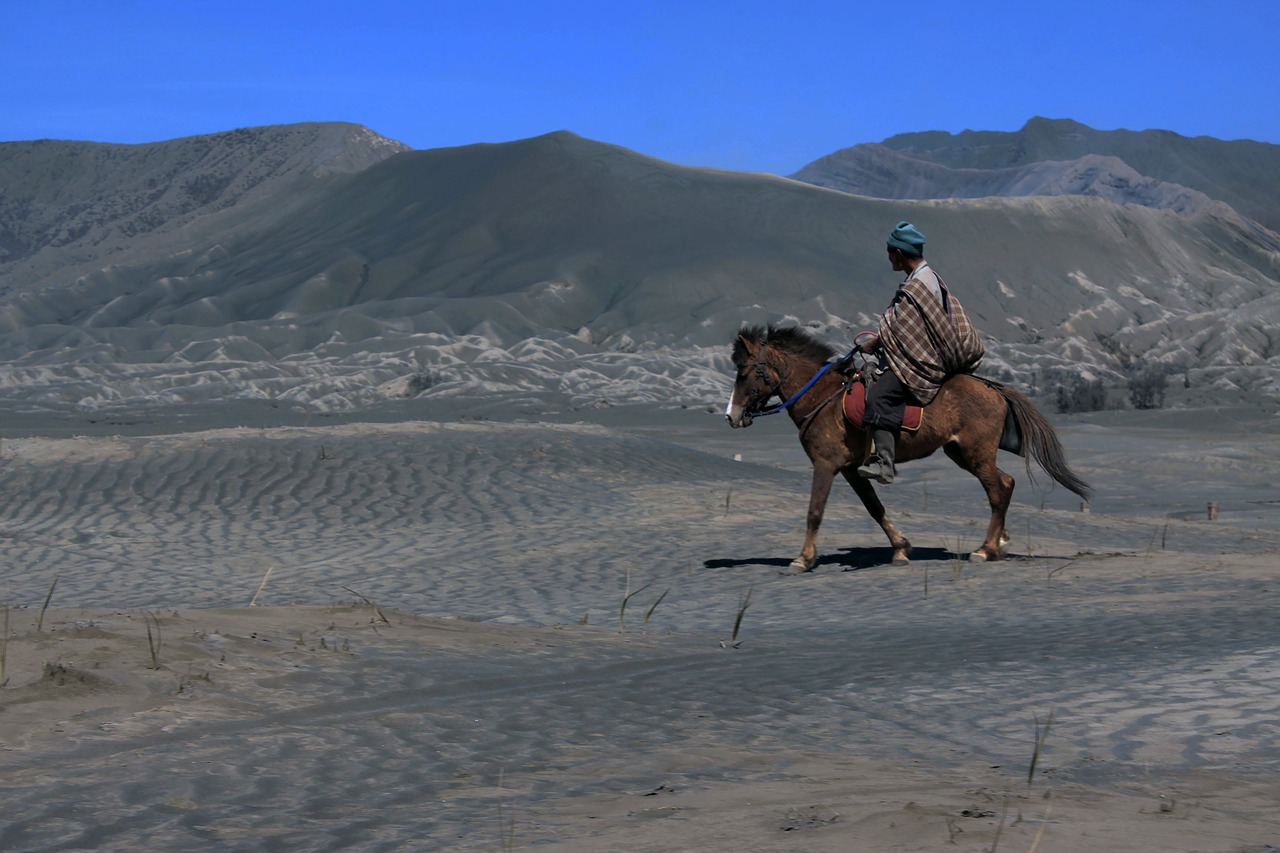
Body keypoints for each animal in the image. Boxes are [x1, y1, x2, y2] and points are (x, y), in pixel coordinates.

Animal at [721, 325, 1090, 571]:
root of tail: (993, 388)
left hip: (976, 454)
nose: (732, 416)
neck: (821, 397)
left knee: (999, 490)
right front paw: (900, 548)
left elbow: (815, 512)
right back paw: (997, 544)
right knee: (1006, 484)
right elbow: (875, 508)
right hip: (960, 453)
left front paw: (803, 558)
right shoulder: (850, 469)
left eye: (743, 373)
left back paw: (985, 549)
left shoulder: (825, 464)